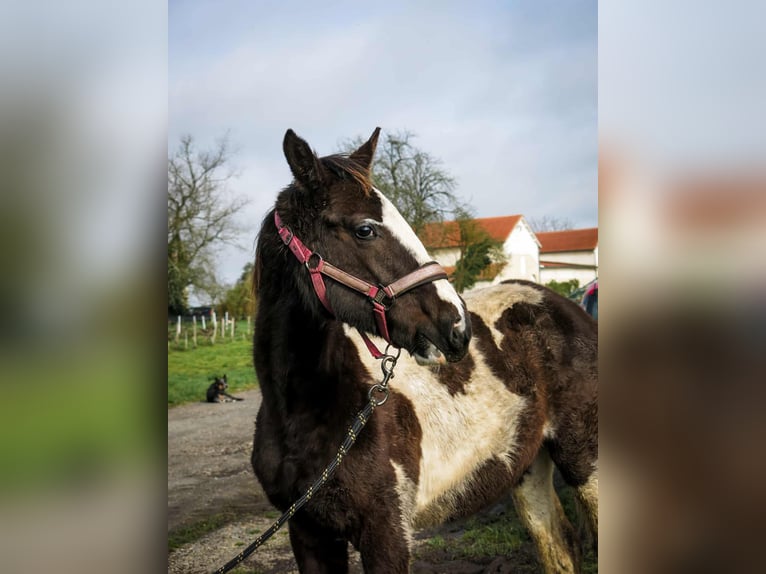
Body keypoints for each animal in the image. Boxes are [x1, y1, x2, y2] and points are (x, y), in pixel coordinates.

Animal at [250, 128, 598, 573]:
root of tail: (564, 306)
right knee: (558, 547)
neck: (304, 413)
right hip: (527, 467)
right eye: (365, 229)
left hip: (585, 459)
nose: (458, 326)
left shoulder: (387, 535)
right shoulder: (309, 534)